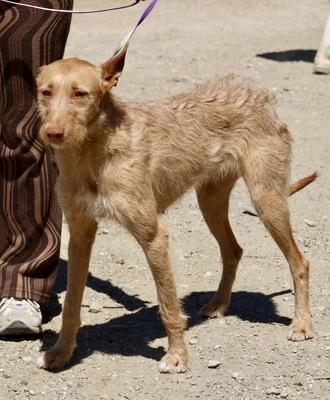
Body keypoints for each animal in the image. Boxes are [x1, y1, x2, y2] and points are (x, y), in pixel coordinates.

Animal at [36, 43, 318, 372]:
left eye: (80, 94)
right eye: (45, 92)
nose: (53, 133)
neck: (91, 152)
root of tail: (259, 93)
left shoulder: (153, 236)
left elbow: (168, 304)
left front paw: (177, 355)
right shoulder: (80, 235)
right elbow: (71, 303)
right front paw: (61, 352)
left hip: (267, 199)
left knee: (299, 262)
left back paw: (302, 324)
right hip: (210, 201)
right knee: (233, 250)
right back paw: (219, 304)